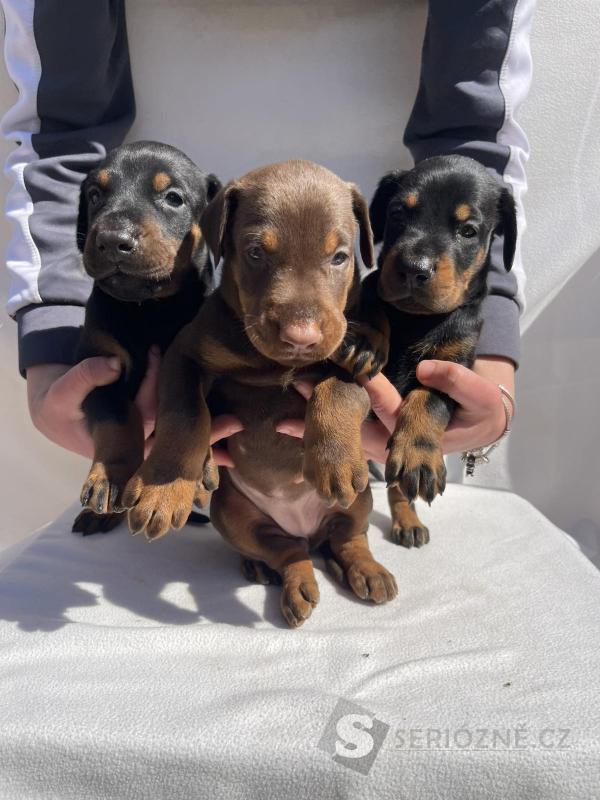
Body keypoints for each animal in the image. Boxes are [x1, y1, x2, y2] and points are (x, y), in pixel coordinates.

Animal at [73, 140, 221, 535]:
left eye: (173, 198)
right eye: (95, 195)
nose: (113, 240)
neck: (149, 307)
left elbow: (190, 413)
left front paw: (168, 488)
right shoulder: (99, 366)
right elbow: (118, 417)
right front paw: (110, 479)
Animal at [121, 160, 398, 627]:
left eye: (339, 257)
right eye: (255, 253)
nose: (301, 336)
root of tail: (306, 529)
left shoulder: (360, 365)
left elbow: (339, 390)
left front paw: (333, 460)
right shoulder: (185, 354)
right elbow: (185, 414)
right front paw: (165, 488)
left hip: (358, 501)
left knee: (347, 538)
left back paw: (366, 570)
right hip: (234, 516)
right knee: (287, 551)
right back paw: (283, 576)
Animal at [337, 155, 517, 547]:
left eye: (468, 231)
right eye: (396, 213)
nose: (413, 269)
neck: (416, 319)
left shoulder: (453, 364)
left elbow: (429, 397)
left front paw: (418, 456)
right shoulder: (375, 288)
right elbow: (373, 302)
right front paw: (366, 340)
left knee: (398, 486)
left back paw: (407, 520)